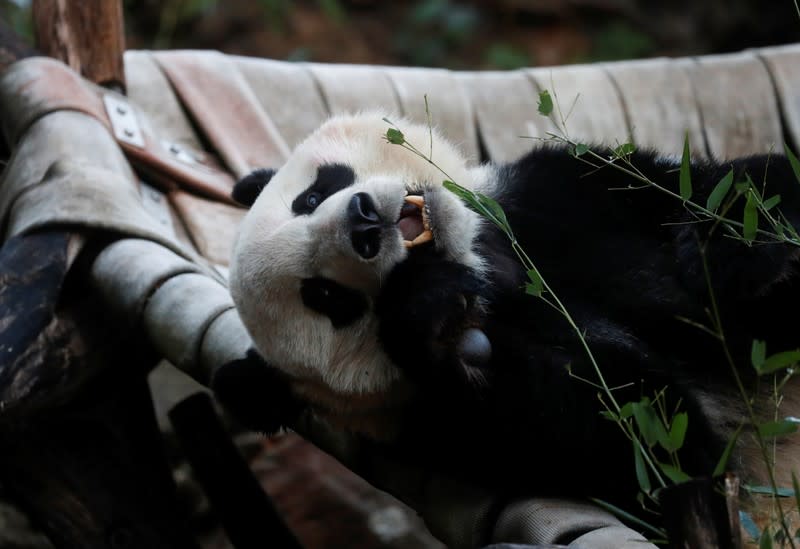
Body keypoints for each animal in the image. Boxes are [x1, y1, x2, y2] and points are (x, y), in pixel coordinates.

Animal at [212, 113, 800, 512]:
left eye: (311, 196)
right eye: (327, 299)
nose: (363, 223)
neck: (487, 263)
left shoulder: (556, 196)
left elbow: (709, 188)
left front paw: (737, 247)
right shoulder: (451, 426)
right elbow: (660, 444)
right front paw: (433, 310)